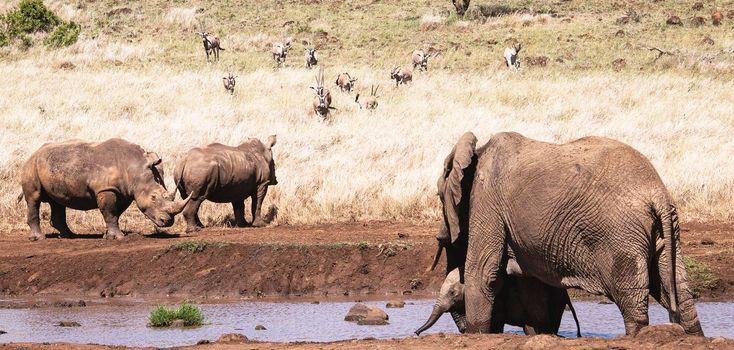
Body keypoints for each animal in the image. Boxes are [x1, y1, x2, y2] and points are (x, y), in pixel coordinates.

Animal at [434, 132, 704, 336]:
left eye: (438, 195)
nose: (440, 237)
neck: (477, 153)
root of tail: (657, 193)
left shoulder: (487, 201)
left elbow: (481, 273)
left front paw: (477, 335)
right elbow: (531, 283)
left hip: (621, 234)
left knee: (631, 298)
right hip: (666, 231)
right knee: (679, 293)